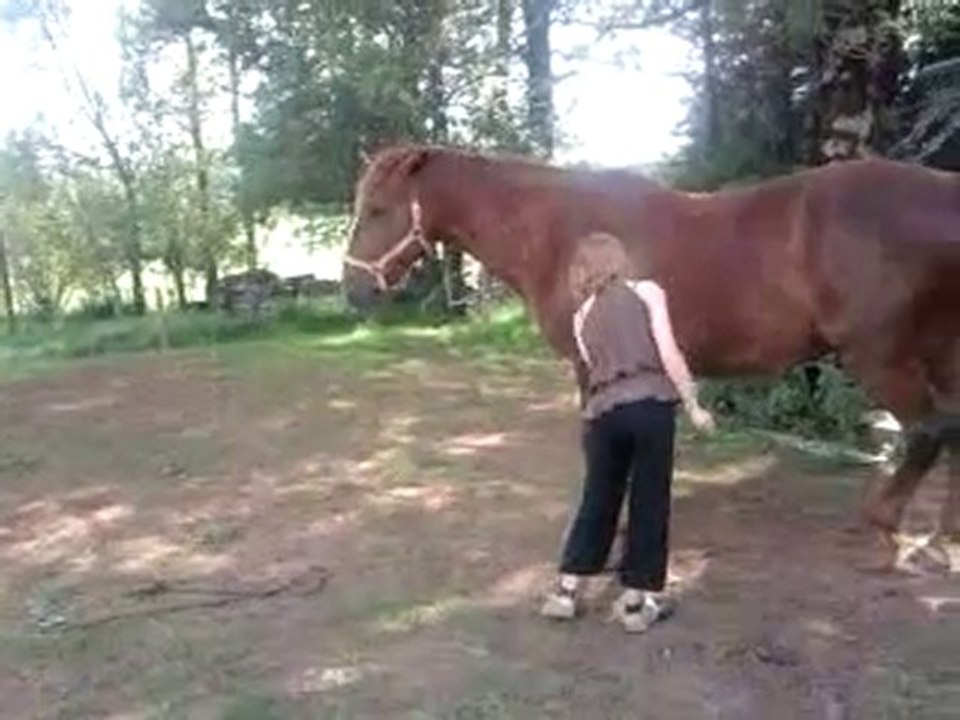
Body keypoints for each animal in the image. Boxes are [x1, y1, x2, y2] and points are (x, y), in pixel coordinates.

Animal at [341, 143, 960, 564]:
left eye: (378, 209)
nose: (354, 289)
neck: (560, 232)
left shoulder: (591, 365)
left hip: (881, 357)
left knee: (929, 432)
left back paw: (885, 519)